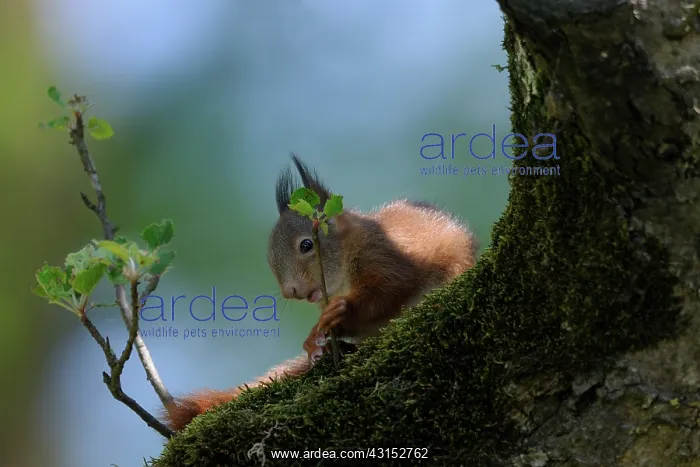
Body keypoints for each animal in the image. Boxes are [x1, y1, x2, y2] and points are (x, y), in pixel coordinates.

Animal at [159, 155, 478, 432]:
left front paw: (342, 312)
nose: (291, 291)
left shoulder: (385, 255)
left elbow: (389, 289)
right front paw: (315, 340)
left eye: (306, 245)